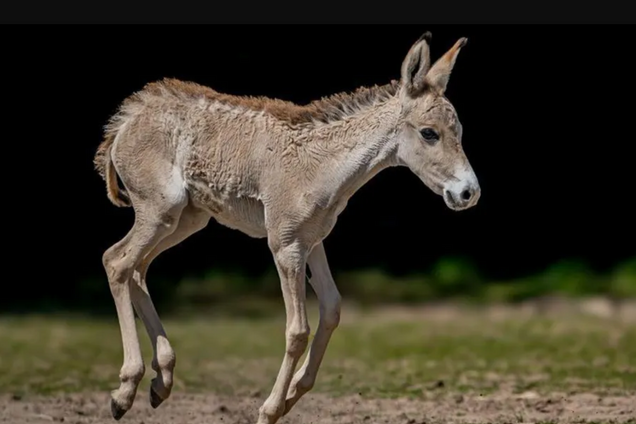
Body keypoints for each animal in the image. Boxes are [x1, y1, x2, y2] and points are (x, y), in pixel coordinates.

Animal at [93, 33, 482, 424]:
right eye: (429, 133)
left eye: (460, 131)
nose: (469, 193)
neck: (324, 166)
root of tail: (125, 119)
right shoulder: (286, 245)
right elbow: (297, 330)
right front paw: (270, 409)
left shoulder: (314, 241)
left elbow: (332, 309)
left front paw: (294, 391)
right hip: (160, 210)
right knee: (118, 262)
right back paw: (125, 391)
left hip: (186, 219)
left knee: (135, 268)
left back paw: (161, 381)